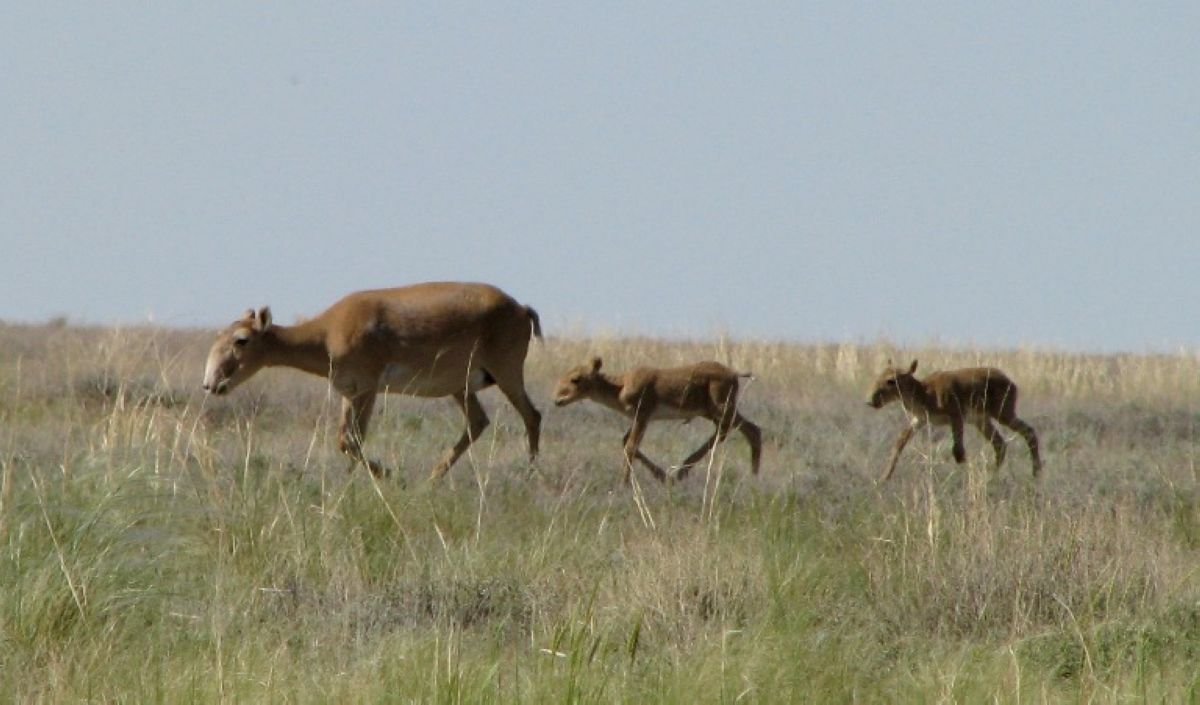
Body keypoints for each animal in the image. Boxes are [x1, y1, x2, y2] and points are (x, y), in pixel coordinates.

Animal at [202, 280, 544, 479]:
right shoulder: (349, 393)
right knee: (478, 422)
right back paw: (431, 480)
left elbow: (350, 440)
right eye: (218, 336)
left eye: (241, 339)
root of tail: (521, 308)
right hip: (460, 387)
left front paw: (388, 474)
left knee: (532, 415)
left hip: (507, 373)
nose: (211, 383)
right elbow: (348, 440)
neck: (326, 334)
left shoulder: (366, 389)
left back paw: (530, 473)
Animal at [549, 357, 758, 484]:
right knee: (733, 430)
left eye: (576, 379)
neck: (620, 386)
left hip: (721, 409)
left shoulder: (643, 416)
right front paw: (663, 476)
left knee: (750, 429)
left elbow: (630, 446)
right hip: (711, 412)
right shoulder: (637, 419)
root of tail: (734, 373)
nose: (558, 400)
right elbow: (625, 441)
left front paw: (623, 484)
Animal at [864, 359, 1041, 481]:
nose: (871, 401)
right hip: (982, 421)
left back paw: (1036, 472)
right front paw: (884, 477)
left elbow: (958, 452)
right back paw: (992, 474)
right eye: (879, 376)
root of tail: (1012, 383)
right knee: (1000, 444)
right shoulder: (919, 420)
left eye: (891, 380)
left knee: (1029, 432)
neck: (925, 393)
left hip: (1003, 414)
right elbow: (899, 443)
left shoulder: (956, 416)